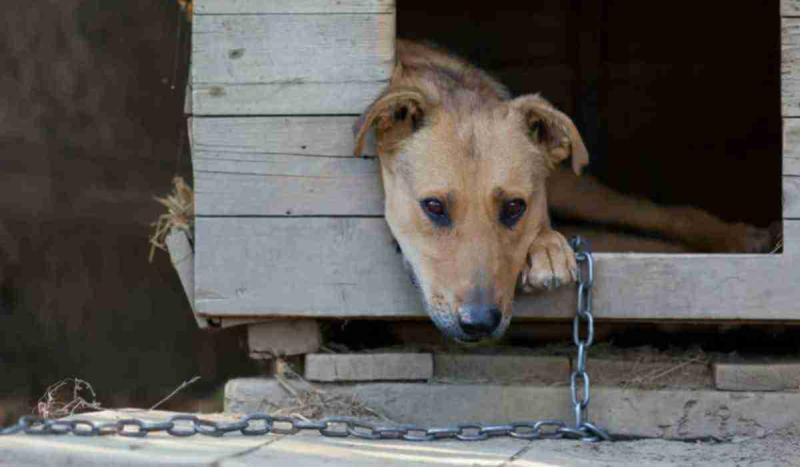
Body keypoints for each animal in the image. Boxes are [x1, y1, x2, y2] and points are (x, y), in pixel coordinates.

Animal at [352, 40, 776, 342]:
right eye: (434, 206)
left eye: (514, 207)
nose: (480, 322)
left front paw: (547, 247)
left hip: (578, 188)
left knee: (656, 215)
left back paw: (744, 241)